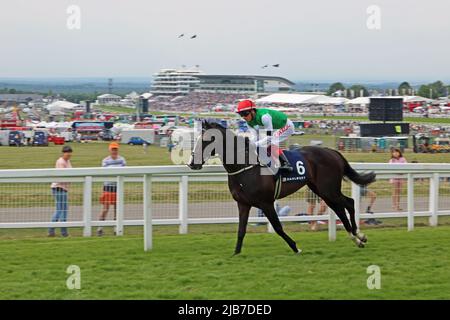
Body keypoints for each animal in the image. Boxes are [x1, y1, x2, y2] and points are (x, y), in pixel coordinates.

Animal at [187, 119, 376, 254]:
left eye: (207, 139)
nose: (192, 163)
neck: (244, 166)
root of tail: (333, 152)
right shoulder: (243, 204)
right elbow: (241, 230)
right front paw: (236, 253)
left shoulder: (266, 203)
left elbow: (278, 227)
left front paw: (295, 247)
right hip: (322, 190)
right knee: (340, 207)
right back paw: (356, 238)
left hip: (328, 189)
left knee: (349, 203)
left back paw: (359, 235)